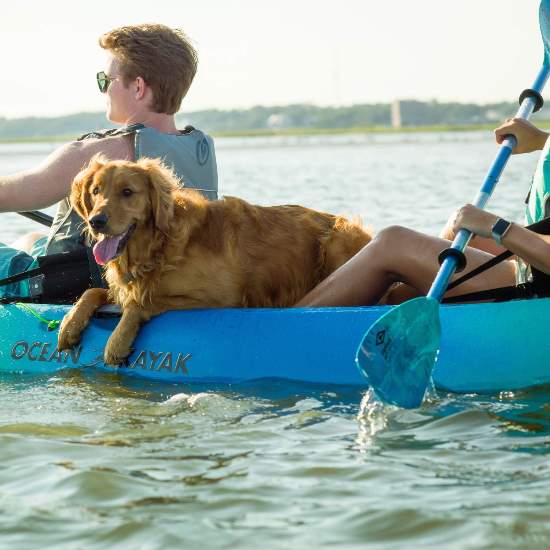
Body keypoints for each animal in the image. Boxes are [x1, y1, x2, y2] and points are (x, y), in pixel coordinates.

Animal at [57, 155, 376, 364]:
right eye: (96, 191)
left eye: (127, 192)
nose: (96, 221)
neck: (161, 246)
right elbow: (93, 291)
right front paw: (70, 324)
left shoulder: (221, 297)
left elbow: (142, 303)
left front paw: (117, 341)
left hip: (338, 239)